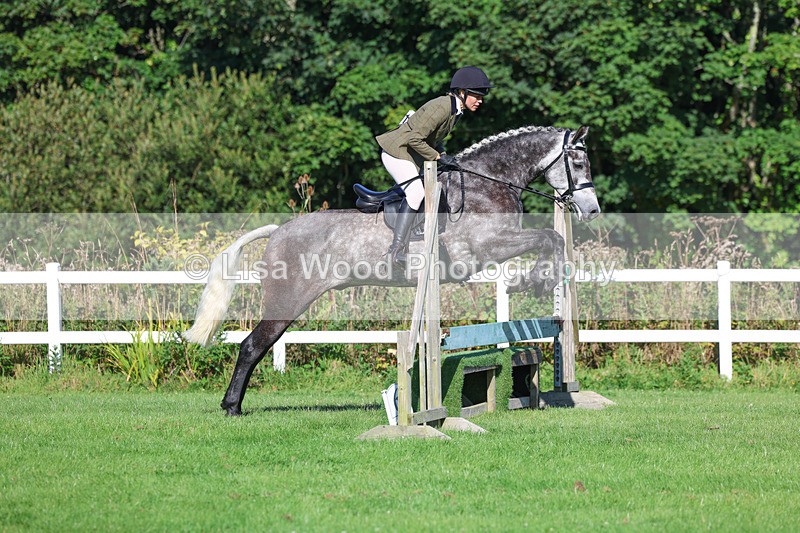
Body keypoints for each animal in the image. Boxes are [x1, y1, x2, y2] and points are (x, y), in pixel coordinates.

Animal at [184, 125, 600, 415]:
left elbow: (553, 240)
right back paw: (232, 407)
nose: (592, 210)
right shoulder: (488, 247)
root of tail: (277, 231)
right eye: (578, 163)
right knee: (253, 345)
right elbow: (549, 237)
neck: (488, 181)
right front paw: (534, 281)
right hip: (287, 301)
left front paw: (538, 281)